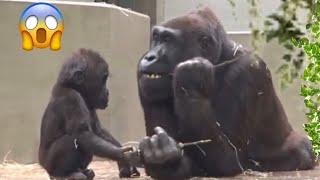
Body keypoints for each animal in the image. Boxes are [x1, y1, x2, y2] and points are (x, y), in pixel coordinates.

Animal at [38, 48, 140, 179]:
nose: (107, 92)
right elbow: (82, 133)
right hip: (48, 165)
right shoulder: (72, 98)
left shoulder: (90, 104)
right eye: (103, 79)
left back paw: (84, 171)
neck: (73, 87)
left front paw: (124, 163)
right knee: (70, 140)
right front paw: (123, 155)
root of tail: (43, 166)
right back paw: (63, 174)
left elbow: (98, 131)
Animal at [138, 6, 318, 179]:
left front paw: (190, 77)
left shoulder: (247, 70)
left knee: (301, 150)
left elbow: (227, 162)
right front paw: (163, 159)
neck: (220, 58)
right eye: (156, 38)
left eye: (168, 40)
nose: (149, 57)